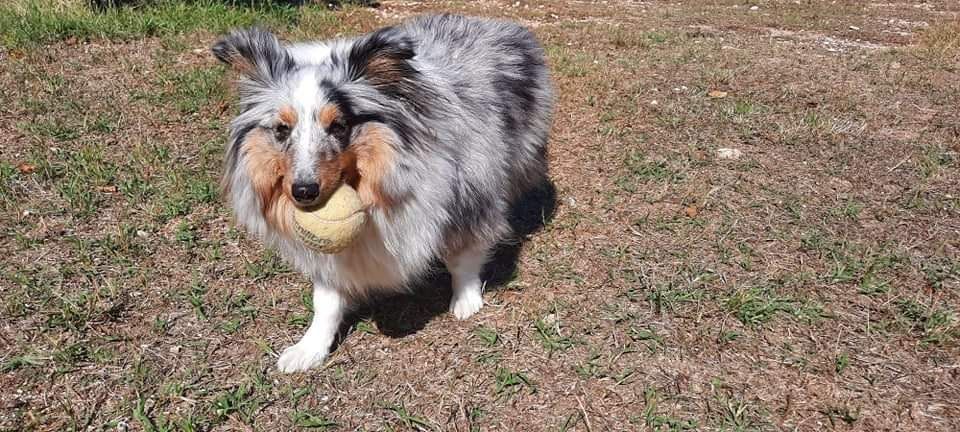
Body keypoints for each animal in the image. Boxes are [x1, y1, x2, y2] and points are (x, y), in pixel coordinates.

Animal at [210, 13, 556, 372]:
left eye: (339, 126)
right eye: (281, 129)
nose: (303, 191)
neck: (374, 186)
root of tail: (493, 22)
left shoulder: (469, 195)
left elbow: (462, 258)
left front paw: (466, 301)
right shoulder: (333, 257)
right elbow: (326, 301)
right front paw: (308, 349)